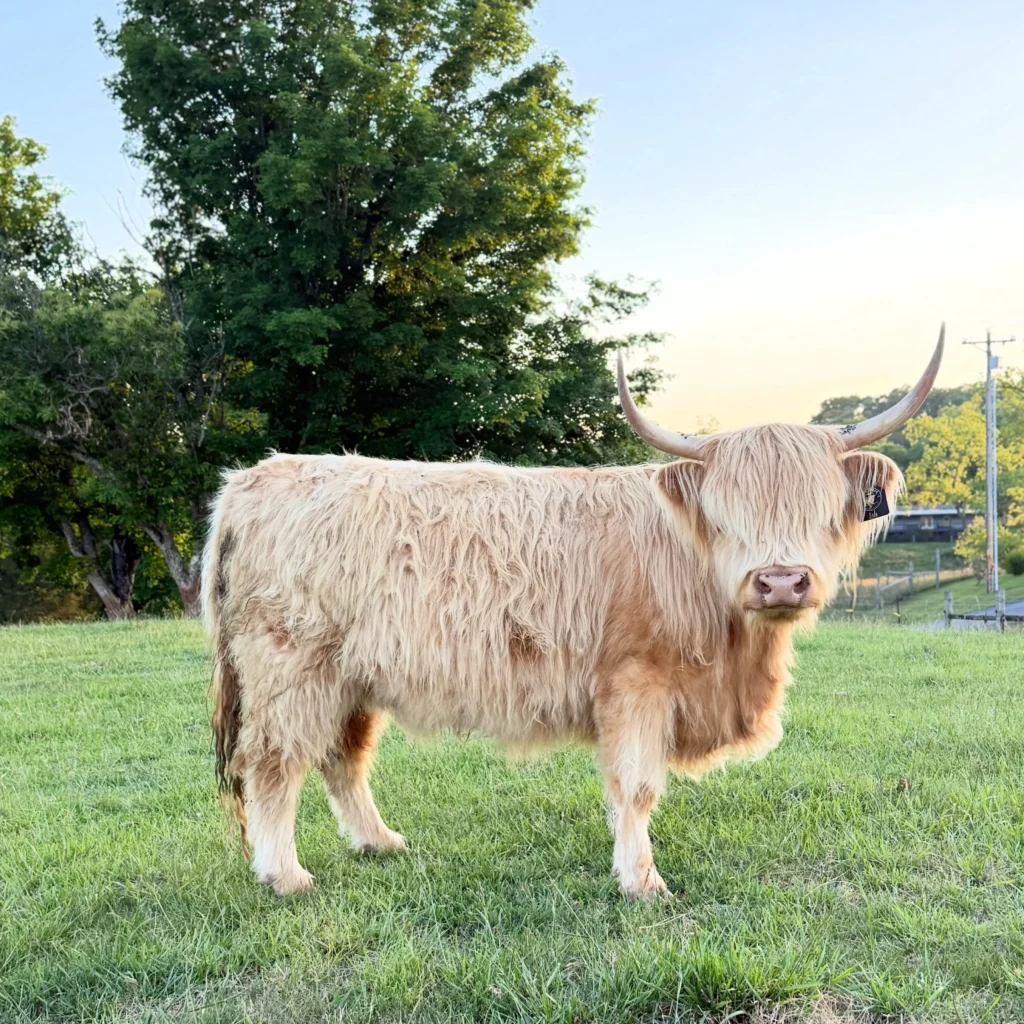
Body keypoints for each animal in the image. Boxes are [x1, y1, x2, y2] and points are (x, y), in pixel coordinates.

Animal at [204, 328, 943, 898]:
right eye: (727, 514)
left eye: (819, 510)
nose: (781, 581)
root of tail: (250, 479)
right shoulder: (636, 684)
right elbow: (636, 786)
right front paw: (642, 881)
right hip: (290, 666)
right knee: (274, 763)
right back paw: (285, 875)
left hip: (350, 676)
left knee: (343, 759)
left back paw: (379, 842)